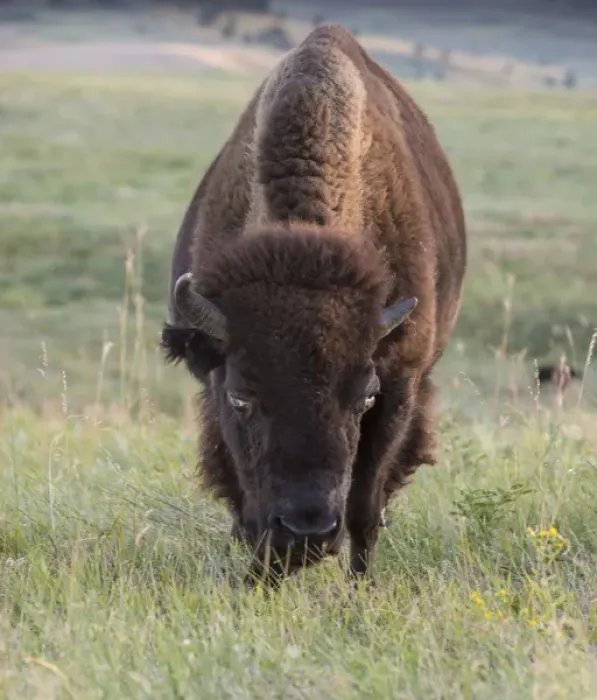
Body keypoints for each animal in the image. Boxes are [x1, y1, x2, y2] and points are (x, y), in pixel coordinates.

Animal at [162, 24, 467, 585]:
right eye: (242, 396)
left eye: (364, 397)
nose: (308, 532)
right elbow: (244, 501)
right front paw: (258, 582)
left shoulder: (400, 379)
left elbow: (365, 503)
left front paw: (361, 589)